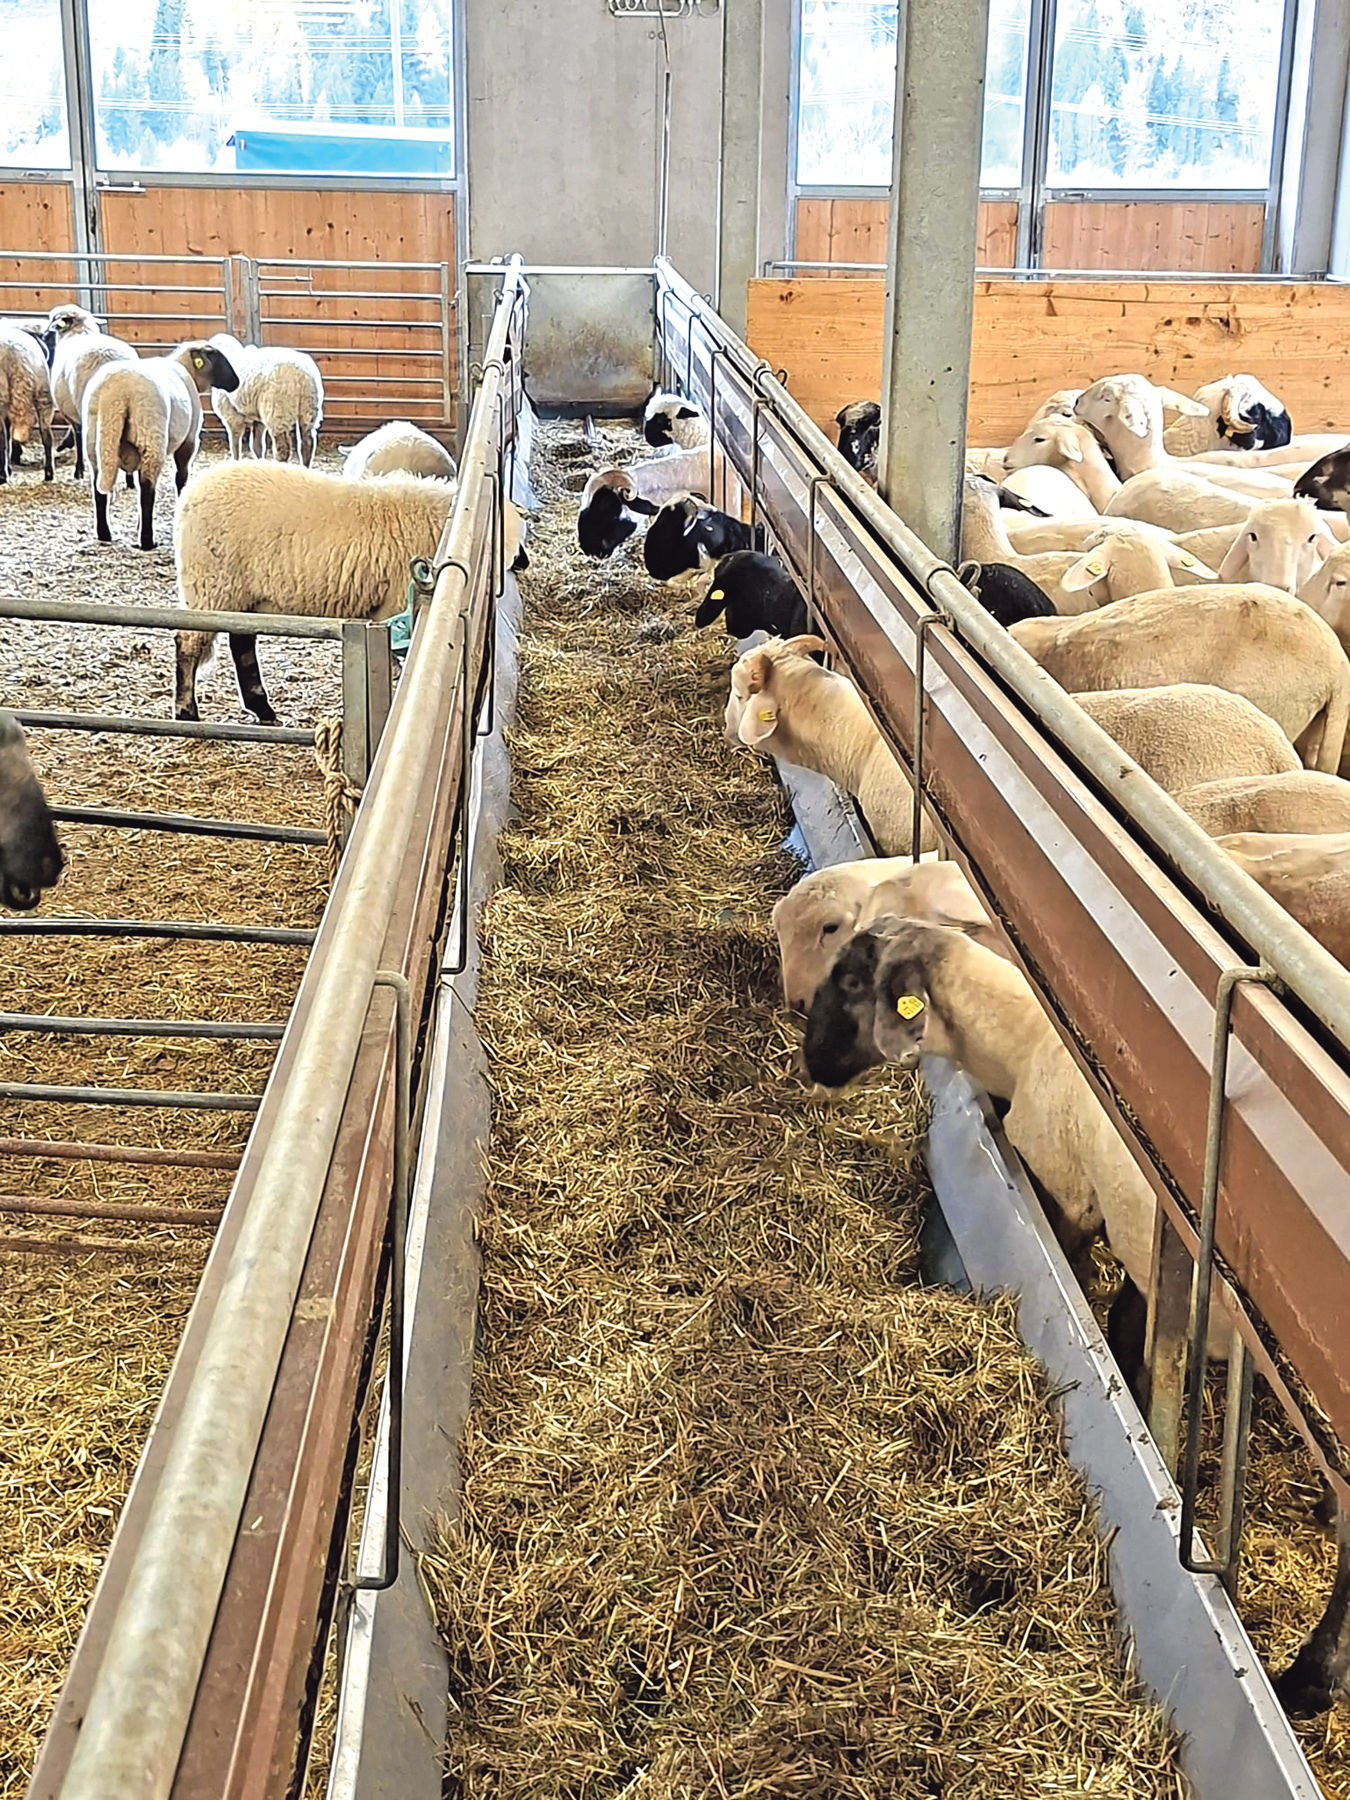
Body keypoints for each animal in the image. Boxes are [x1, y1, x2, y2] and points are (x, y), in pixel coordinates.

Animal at [46, 303, 138, 482]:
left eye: (53, 319)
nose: (46, 335)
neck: (80, 331)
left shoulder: (71, 410)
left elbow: (78, 435)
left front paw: (78, 469)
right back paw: (130, 479)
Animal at [84, 340, 241, 551]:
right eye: (218, 358)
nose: (236, 383)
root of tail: (116, 394)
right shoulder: (189, 440)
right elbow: (181, 478)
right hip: (151, 438)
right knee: (147, 491)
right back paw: (147, 541)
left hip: (94, 443)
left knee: (99, 491)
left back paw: (105, 534)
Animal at [173, 462, 457, 724]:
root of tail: (192, 492)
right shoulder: (395, 608)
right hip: (210, 585)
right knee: (188, 642)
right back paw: (186, 711)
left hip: (240, 596)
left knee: (241, 646)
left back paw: (263, 710)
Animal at [207, 333, 324, 466]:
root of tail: (302, 375)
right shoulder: (258, 419)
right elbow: (257, 445)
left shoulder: (232, 415)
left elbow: (235, 444)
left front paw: (236, 462)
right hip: (309, 409)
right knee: (307, 443)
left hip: (278, 411)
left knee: (283, 449)